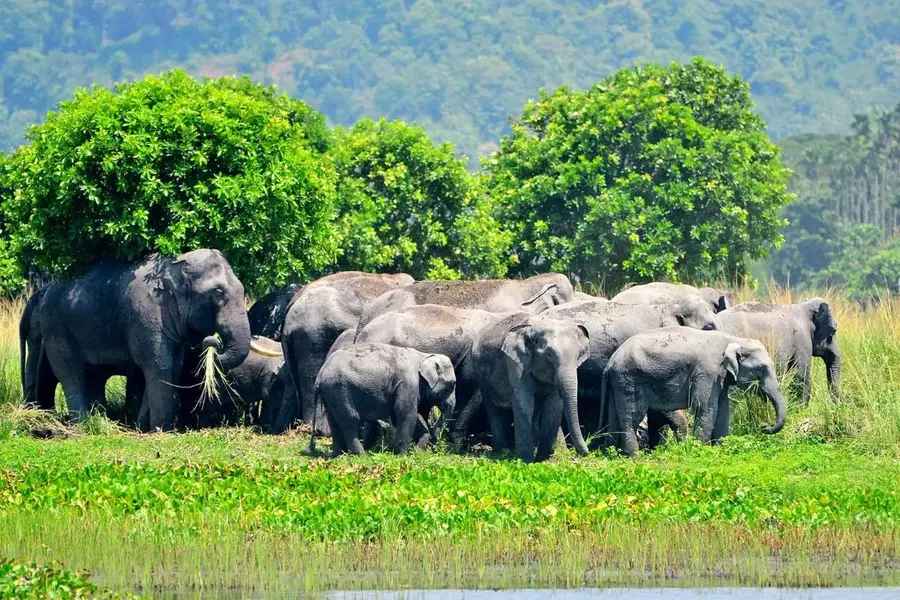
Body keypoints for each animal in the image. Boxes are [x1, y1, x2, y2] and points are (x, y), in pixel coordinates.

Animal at [36, 249, 251, 431]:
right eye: (218, 293)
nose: (213, 342)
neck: (174, 266)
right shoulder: (146, 312)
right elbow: (158, 363)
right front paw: (162, 430)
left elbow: (173, 365)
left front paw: (143, 427)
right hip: (55, 327)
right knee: (72, 372)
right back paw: (83, 425)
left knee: (95, 375)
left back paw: (99, 419)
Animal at [310, 343, 456, 456]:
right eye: (452, 384)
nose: (435, 441)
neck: (424, 356)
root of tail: (320, 375)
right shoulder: (408, 384)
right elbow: (406, 414)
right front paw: (401, 456)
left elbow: (412, 416)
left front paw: (418, 451)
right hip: (339, 390)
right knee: (350, 420)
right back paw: (361, 455)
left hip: (330, 394)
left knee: (334, 421)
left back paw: (338, 454)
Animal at [471, 312, 591, 462]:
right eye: (549, 354)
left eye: (579, 355)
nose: (585, 452)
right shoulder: (516, 362)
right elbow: (523, 403)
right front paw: (526, 461)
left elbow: (553, 406)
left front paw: (543, 459)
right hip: (482, 379)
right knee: (493, 408)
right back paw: (500, 452)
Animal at [602, 327, 786, 457]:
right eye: (761, 369)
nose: (764, 426)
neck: (733, 339)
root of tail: (610, 363)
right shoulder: (707, 372)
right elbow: (705, 408)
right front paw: (701, 450)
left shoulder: (719, 377)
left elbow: (723, 409)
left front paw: (720, 450)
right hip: (629, 380)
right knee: (631, 417)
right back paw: (635, 457)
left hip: (618, 383)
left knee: (614, 418)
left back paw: (613, 455)